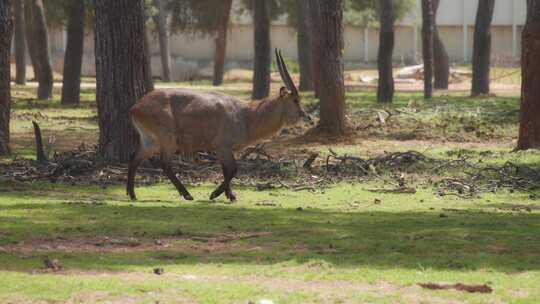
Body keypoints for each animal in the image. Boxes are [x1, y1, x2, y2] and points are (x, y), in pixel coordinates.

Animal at [126, 50, 308, 202]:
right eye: (295, 100)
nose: (305, 115)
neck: (247, 115)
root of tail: (135, 107)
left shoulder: (221, 150)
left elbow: (225, 170)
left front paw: (229, 195)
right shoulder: (222, 146)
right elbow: (233, 169)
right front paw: (217, 194)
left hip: (149, 140)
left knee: (135, 158)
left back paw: (132, 194)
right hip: (167, 139)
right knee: (164, 163)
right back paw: (187, 194)